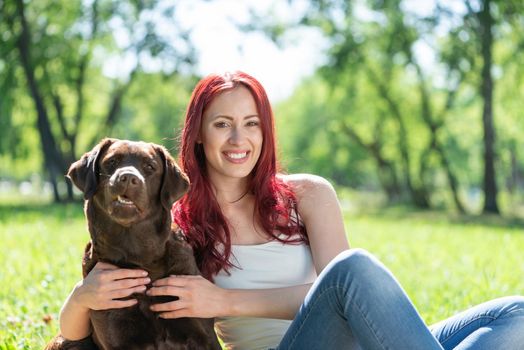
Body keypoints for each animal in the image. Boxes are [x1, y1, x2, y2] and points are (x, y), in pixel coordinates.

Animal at [45, 139, 223, 350]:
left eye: (150, 167)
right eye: (111, 162)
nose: (128, 177)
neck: (138, 257)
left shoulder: (201, 332)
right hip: (67, 341)